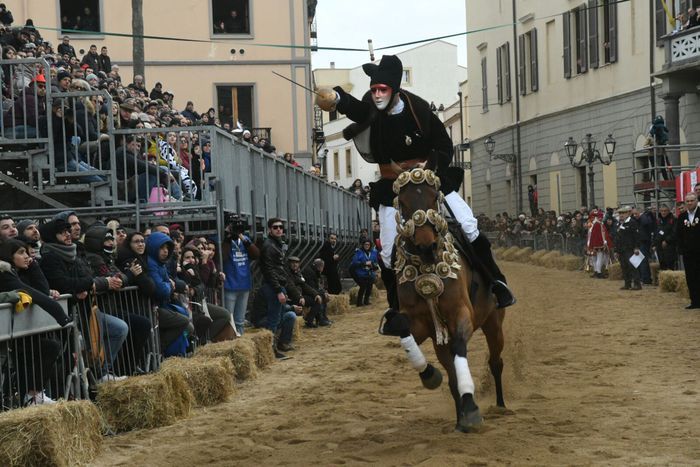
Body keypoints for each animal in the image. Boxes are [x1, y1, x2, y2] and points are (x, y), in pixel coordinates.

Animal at [392, 164, 506, 432]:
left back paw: (499, 405)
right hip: (440, 341)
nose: (426, 247)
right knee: (453, 375)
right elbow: (402, 329)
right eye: (403, 202)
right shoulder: (421, 325)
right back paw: (460, 417)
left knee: (495, 362)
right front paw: (429, 375)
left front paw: (472, 407)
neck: (428, 267)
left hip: (494, 323)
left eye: (435, 196)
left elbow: (460, 346)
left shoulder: (461, 314)